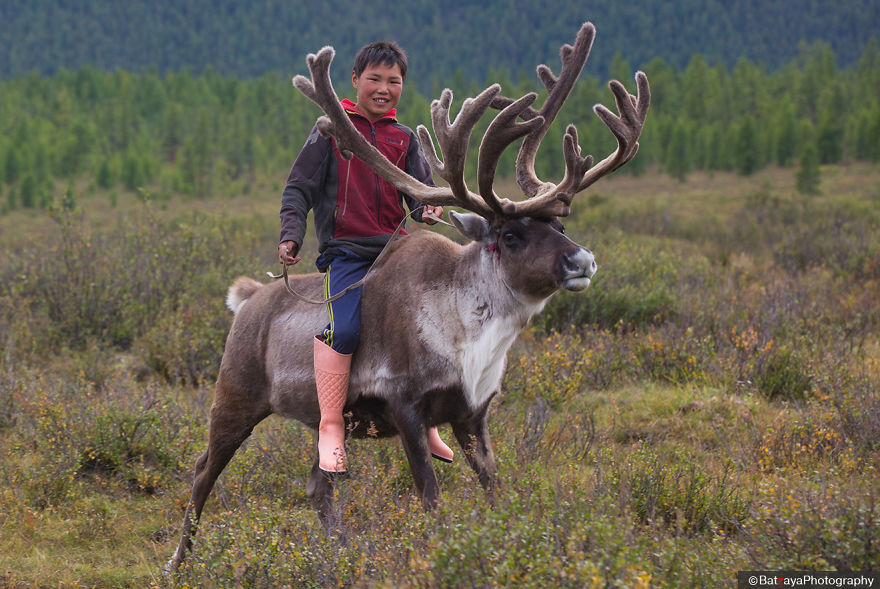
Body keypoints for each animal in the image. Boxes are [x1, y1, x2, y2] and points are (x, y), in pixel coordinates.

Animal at [169, 22, 649, 570]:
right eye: (510, 235)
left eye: (560, 225)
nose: (582, 261)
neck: (470, 338)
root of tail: (247, 298)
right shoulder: (404, 405)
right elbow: (431, 495)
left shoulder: (472, 412)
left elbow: (495, 488)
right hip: (235, 395)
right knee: (203, 470)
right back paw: (178, 562)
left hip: (328, 425)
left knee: (318, 484)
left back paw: (342, 556)